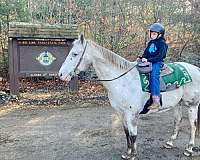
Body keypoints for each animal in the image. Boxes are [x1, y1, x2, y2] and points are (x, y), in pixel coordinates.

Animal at [58, 34, 200, 159]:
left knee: (193, 125)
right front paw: (127, 153)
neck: (123, 81)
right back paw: (170, 142)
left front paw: (133, 155)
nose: (61, 74)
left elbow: (133, 135)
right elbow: (126, 133)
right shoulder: (121, 113)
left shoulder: (131, 114)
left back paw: (189, 149)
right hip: (177, 103)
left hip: (192, 105)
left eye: (74, 54)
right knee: (178, 120)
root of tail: (196, 69)